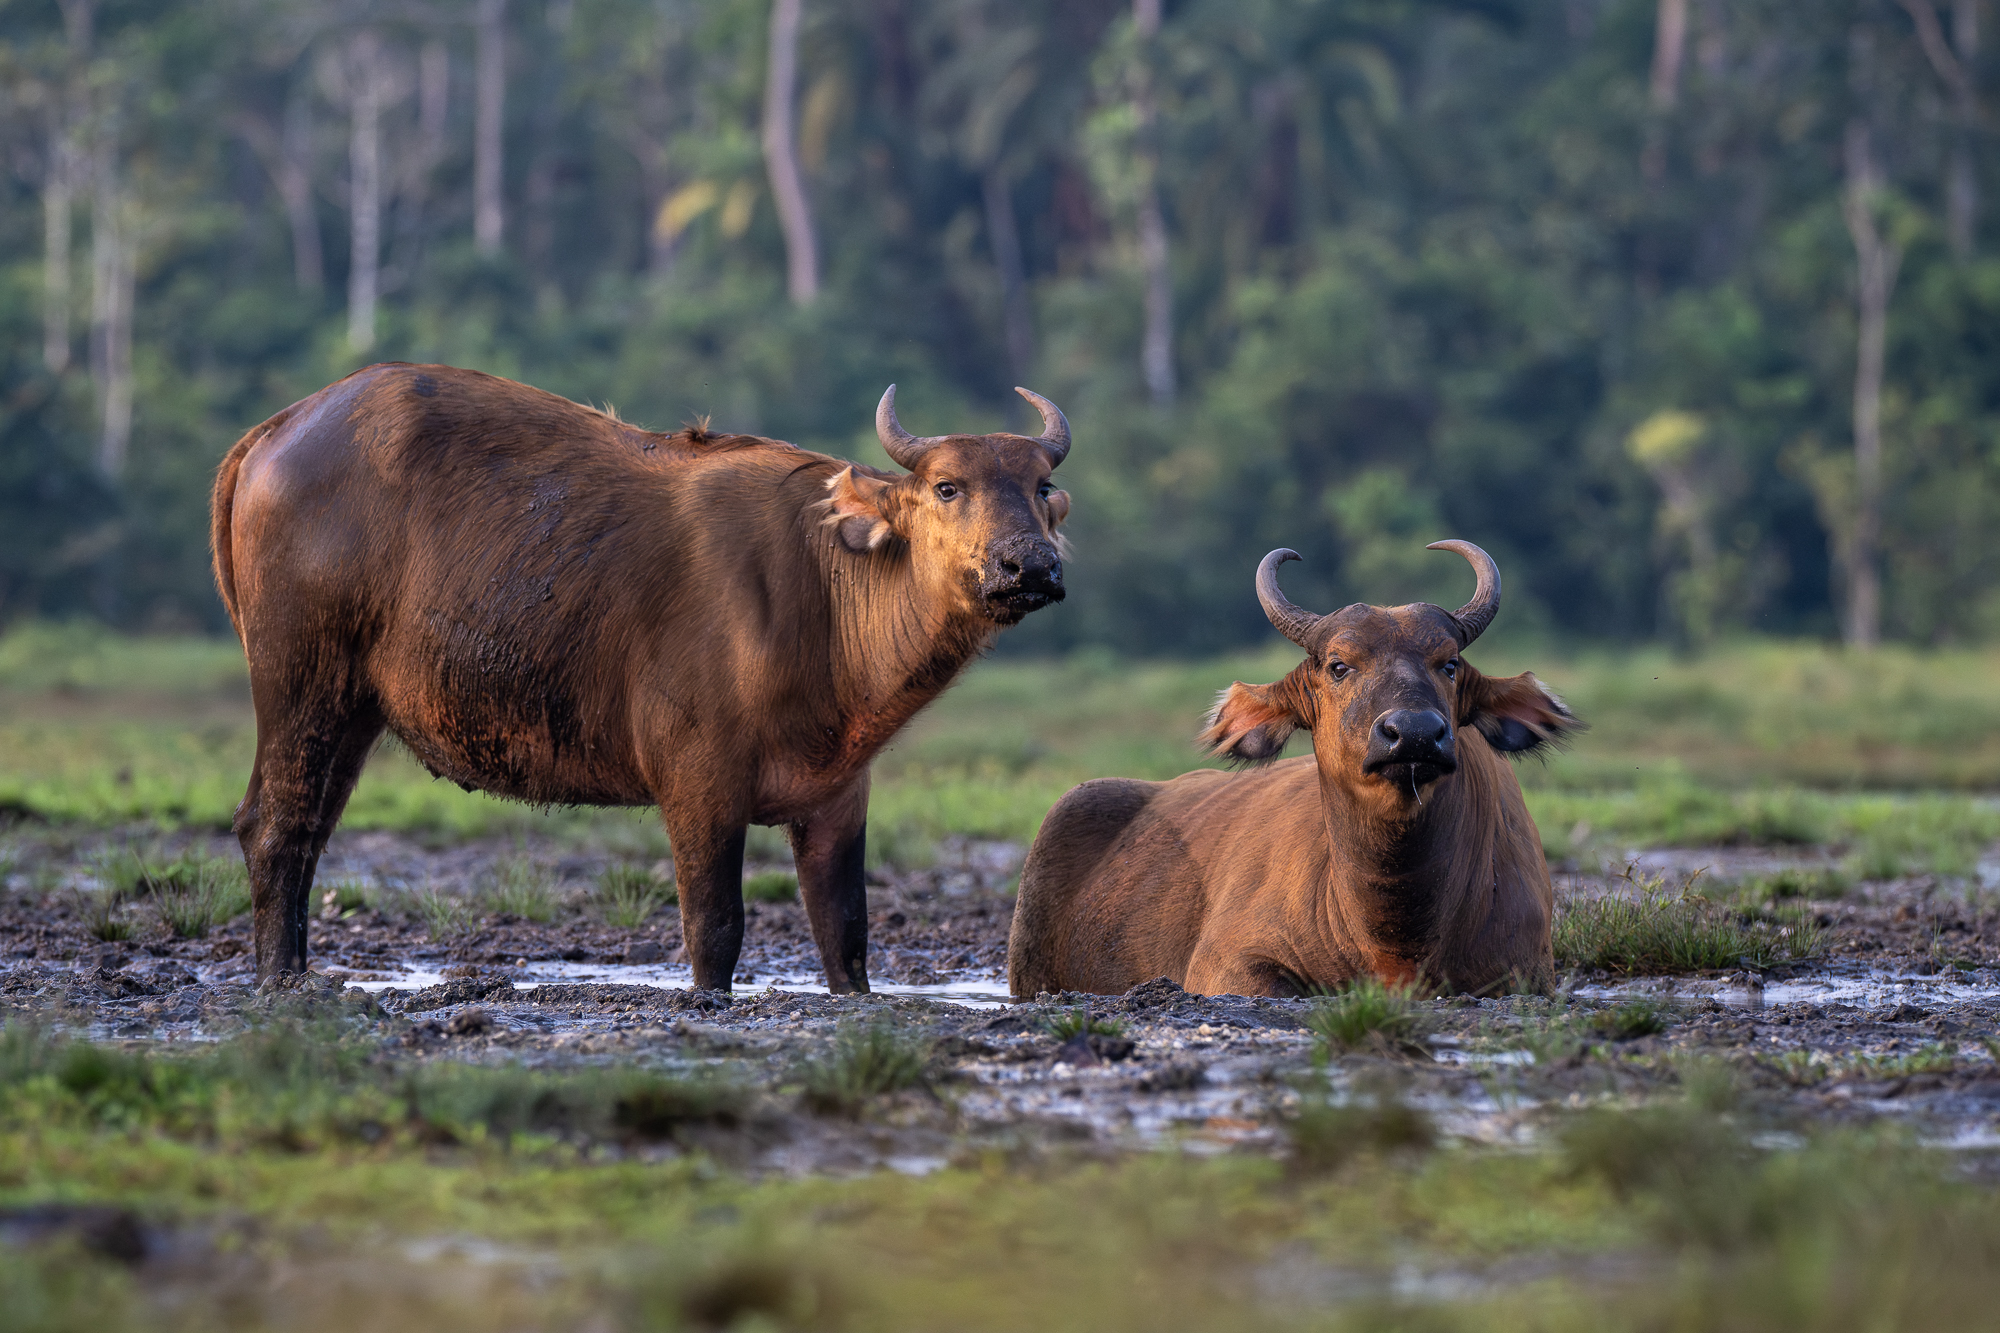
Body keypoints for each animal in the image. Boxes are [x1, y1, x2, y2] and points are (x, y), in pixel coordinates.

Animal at [211, 363, 1073, 989]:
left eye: (1039, 489)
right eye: (948, 486)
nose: (1029, 564)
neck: (825, 592)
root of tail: (278, 430)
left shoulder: (838, 794)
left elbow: (847, 935)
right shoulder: (698, 781)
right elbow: (715, 929)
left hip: (353, 708)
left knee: (311, 830)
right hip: (300, 681)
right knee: (273, 824)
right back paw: (283, 979)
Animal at [1008, 540, 1580, 998]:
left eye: (1450, 664)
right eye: (1338, 665)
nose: (1415, 732)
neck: (1395, 938)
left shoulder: (1526, 972)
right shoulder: (1228, 965)